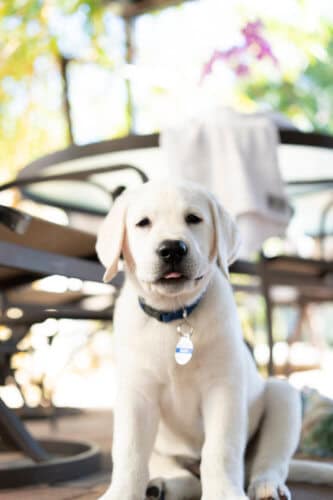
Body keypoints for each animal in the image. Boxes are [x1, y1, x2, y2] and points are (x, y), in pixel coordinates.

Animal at [96, 181, 332, 500]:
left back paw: (267, 486)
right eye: (143, 223)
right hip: (162, 448)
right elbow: (129, 452)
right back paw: (160, 486)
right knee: (182, 475)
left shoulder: (223, 388)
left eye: (193, 218)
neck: (177, 315)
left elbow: (220, 449)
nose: (172, 248)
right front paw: (121, 493)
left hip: (283, 397)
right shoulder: (137, 394)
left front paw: (223, 492)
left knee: (268, 462)